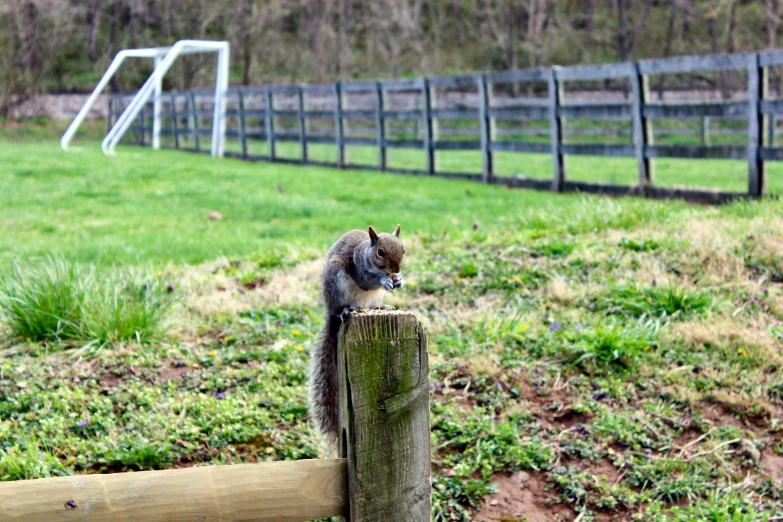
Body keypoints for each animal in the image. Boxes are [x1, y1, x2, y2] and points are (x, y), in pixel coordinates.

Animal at [308, 223, 404, 438]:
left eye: (403, 249)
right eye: (380, 252)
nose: (396, 270)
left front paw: (399, 280)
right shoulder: (359, 269)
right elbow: (366, 282)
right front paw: (384, 280)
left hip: (373, 298)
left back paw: (381, 308)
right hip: (337, 281)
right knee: (339, 309)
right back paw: (346, 310)